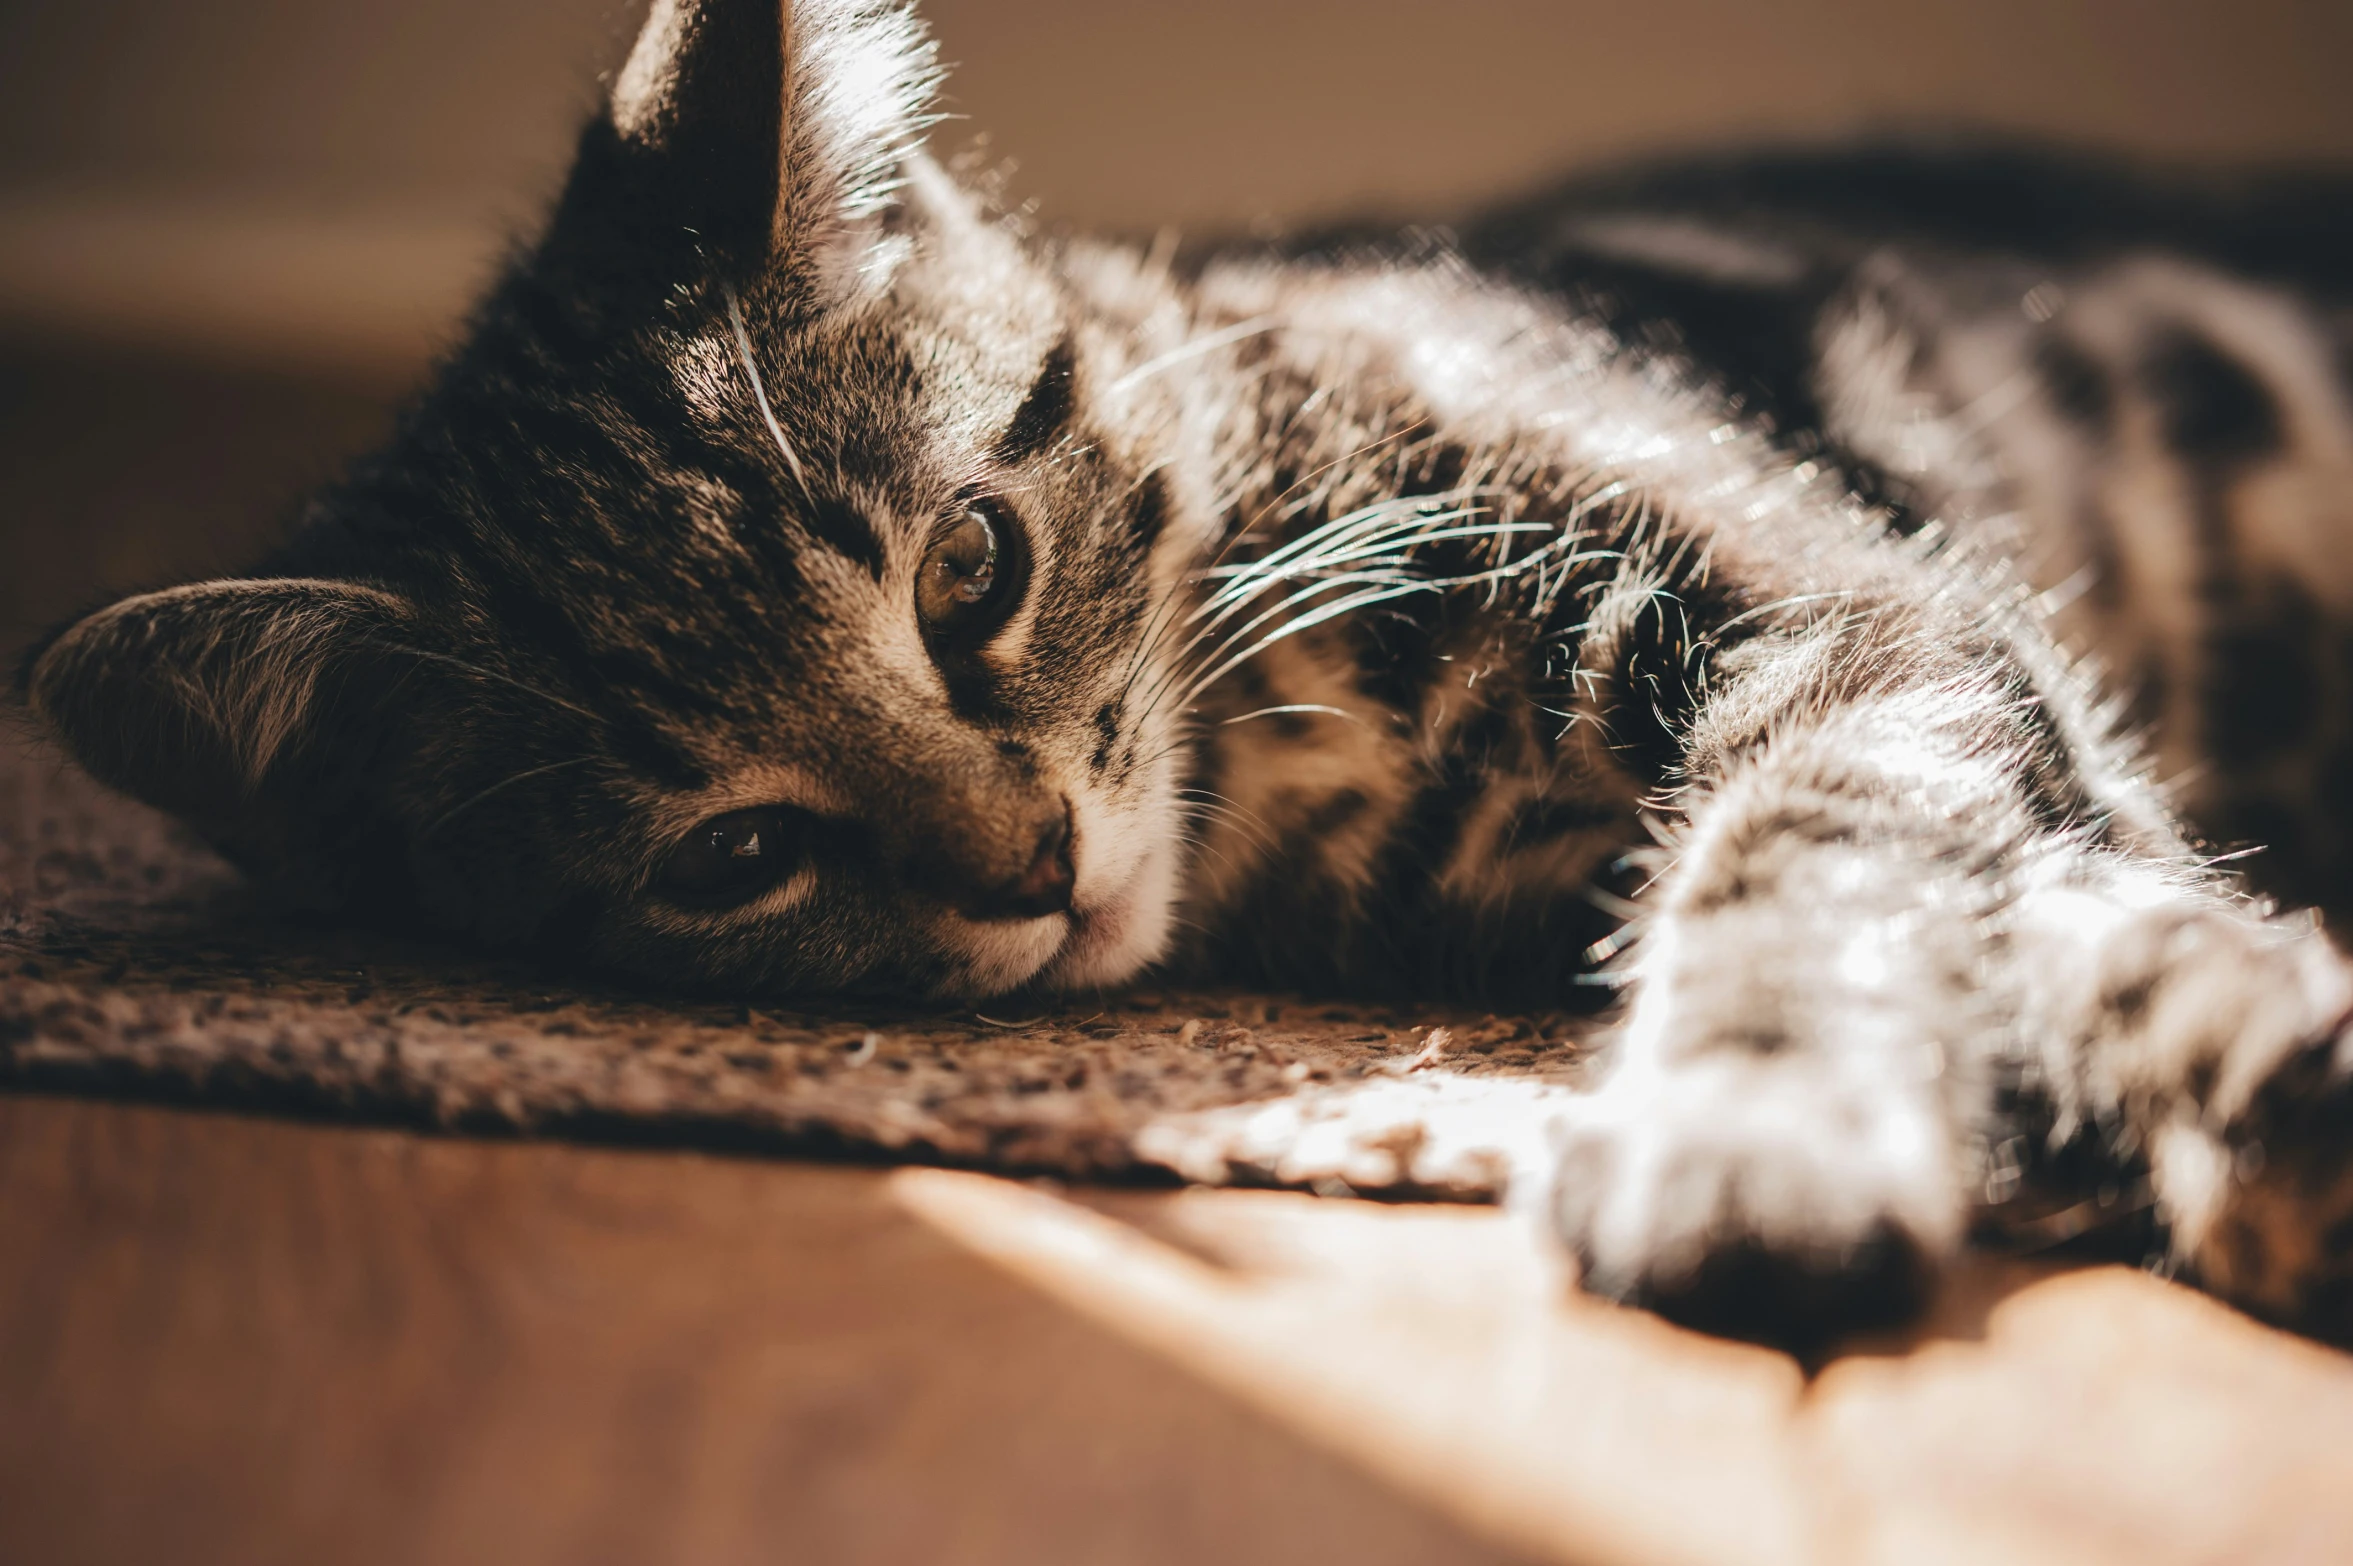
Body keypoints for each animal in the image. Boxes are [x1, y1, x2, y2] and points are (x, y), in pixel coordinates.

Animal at [18, 0, 2353, 1344]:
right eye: (731, 859)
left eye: (968, 562)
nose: (1035, 862)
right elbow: (2056, 904)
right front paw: (2240, 1084)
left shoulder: (1862, 604)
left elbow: (1841, 847)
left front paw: (1755, 1124)